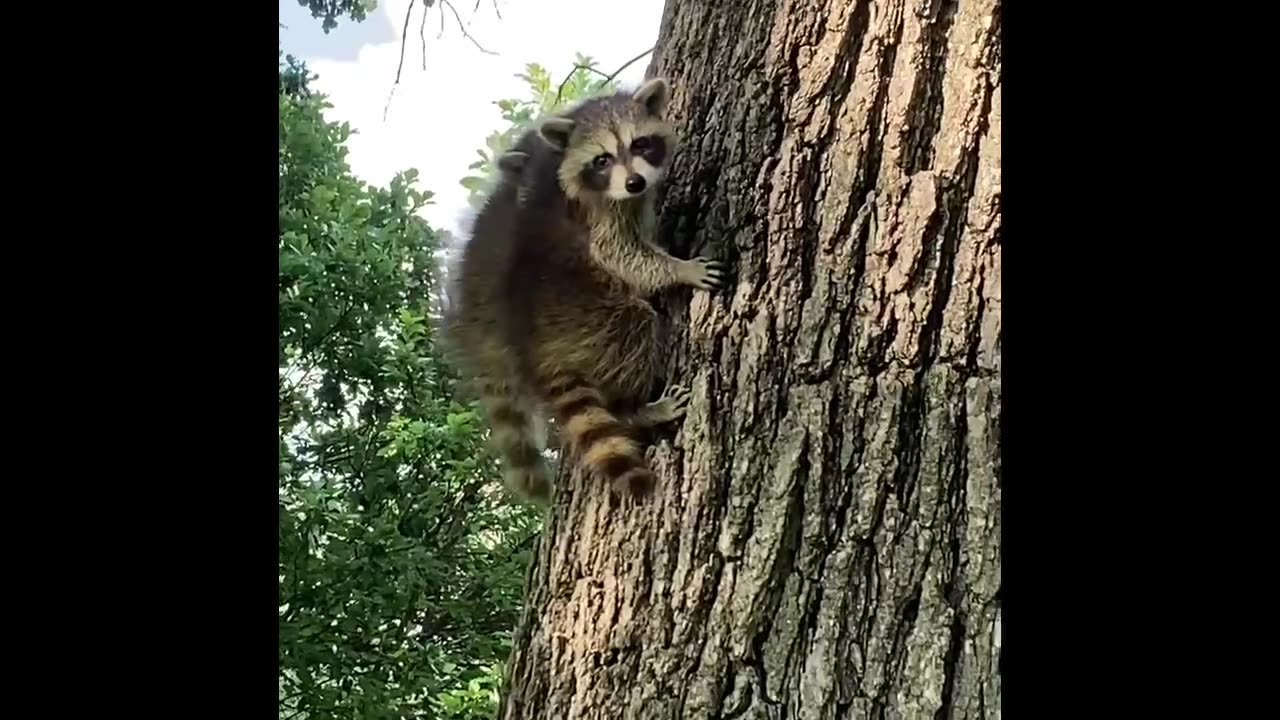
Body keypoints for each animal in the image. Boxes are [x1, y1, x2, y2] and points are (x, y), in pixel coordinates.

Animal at [448, 77, 731, 503]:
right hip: (590, 315)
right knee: (633, 327)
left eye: (640, 144)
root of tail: (537, 349)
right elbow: (623, 255)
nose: (634, 182)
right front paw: (679, 269)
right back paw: (635, 408)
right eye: (602, 160)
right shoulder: (597, 217)